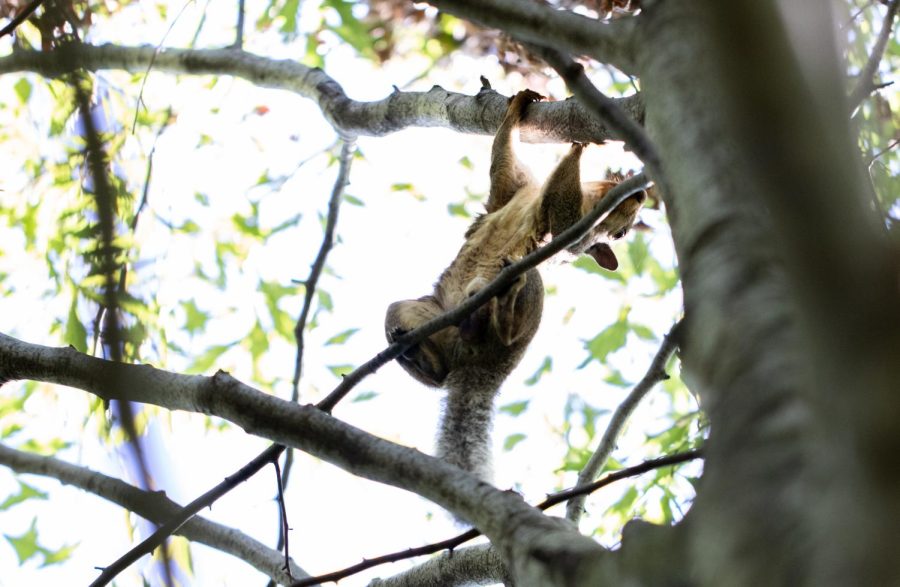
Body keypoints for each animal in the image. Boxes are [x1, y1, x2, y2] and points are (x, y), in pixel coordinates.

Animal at [384, 90, 644, 486]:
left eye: (621, 235)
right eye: (617, 179)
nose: (640, 195)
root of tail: (483, 372)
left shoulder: (568, 232)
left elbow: (562, 216)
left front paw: (577, 148)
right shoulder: (512, 190)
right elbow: (501, 160)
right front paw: (520, 105)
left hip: (526, 285)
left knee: (499, 331)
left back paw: (495, 315)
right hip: (417, 313)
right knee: (438, 373)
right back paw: (418, 351)